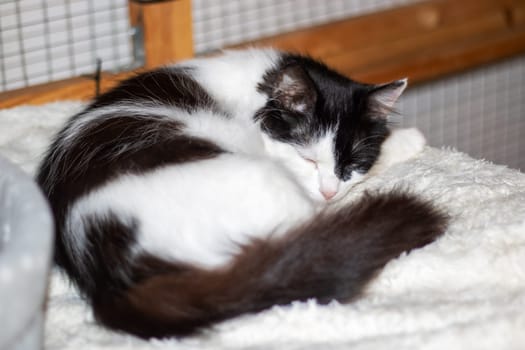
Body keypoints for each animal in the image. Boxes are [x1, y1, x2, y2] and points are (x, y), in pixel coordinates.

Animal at [36, 47, 446, 338]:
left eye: (351, 163)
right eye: (308, 158)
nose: (330, 191)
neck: (260, 88)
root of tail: (110, 278)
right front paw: (406, 140)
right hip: (262, 181)